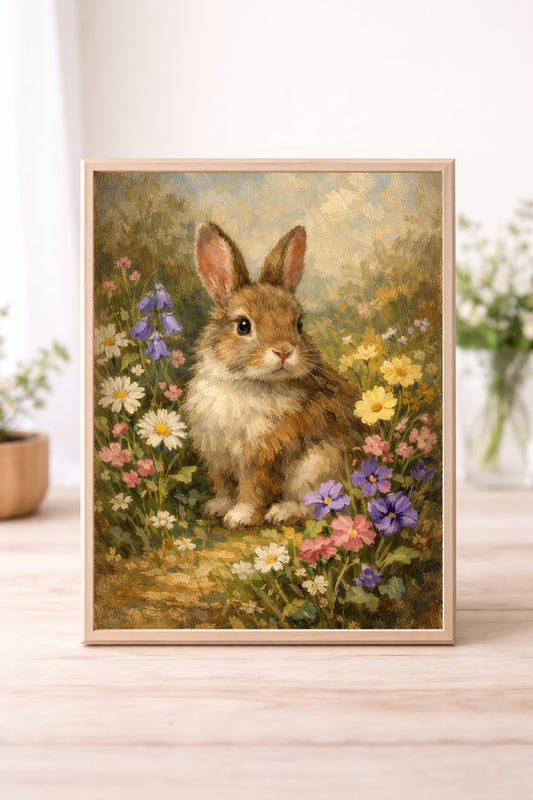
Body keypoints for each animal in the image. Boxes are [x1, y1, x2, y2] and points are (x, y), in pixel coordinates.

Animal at [184, 222, 366, 530]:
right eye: (243, 325)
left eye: (298, 324)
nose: (283, 351)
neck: (247, 381)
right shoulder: (219, 457)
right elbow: (224, 485)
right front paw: (217, 507)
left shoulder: (260, 457)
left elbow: (253, 490)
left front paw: (240, 517)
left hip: (318, 465)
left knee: (325, 508)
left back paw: (283, 512)